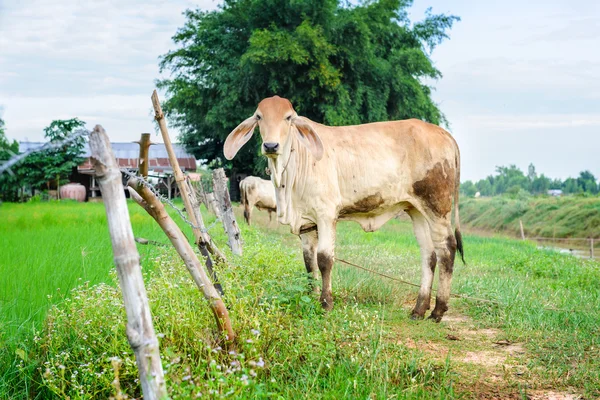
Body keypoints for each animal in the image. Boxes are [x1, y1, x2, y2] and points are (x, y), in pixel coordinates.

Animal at [224, 96, 464, 322]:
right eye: (259, 117)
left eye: (288, 117)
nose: (271, 146)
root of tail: (444, 134)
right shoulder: (306, 223)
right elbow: (309, 262)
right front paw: (310, 296)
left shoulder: (326, 214)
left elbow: (324, 259)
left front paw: (326, 303)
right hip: (417, 210)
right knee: (428, 255)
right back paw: (419, 309)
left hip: (437, 207)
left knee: (446, 250)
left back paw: (438, 310)